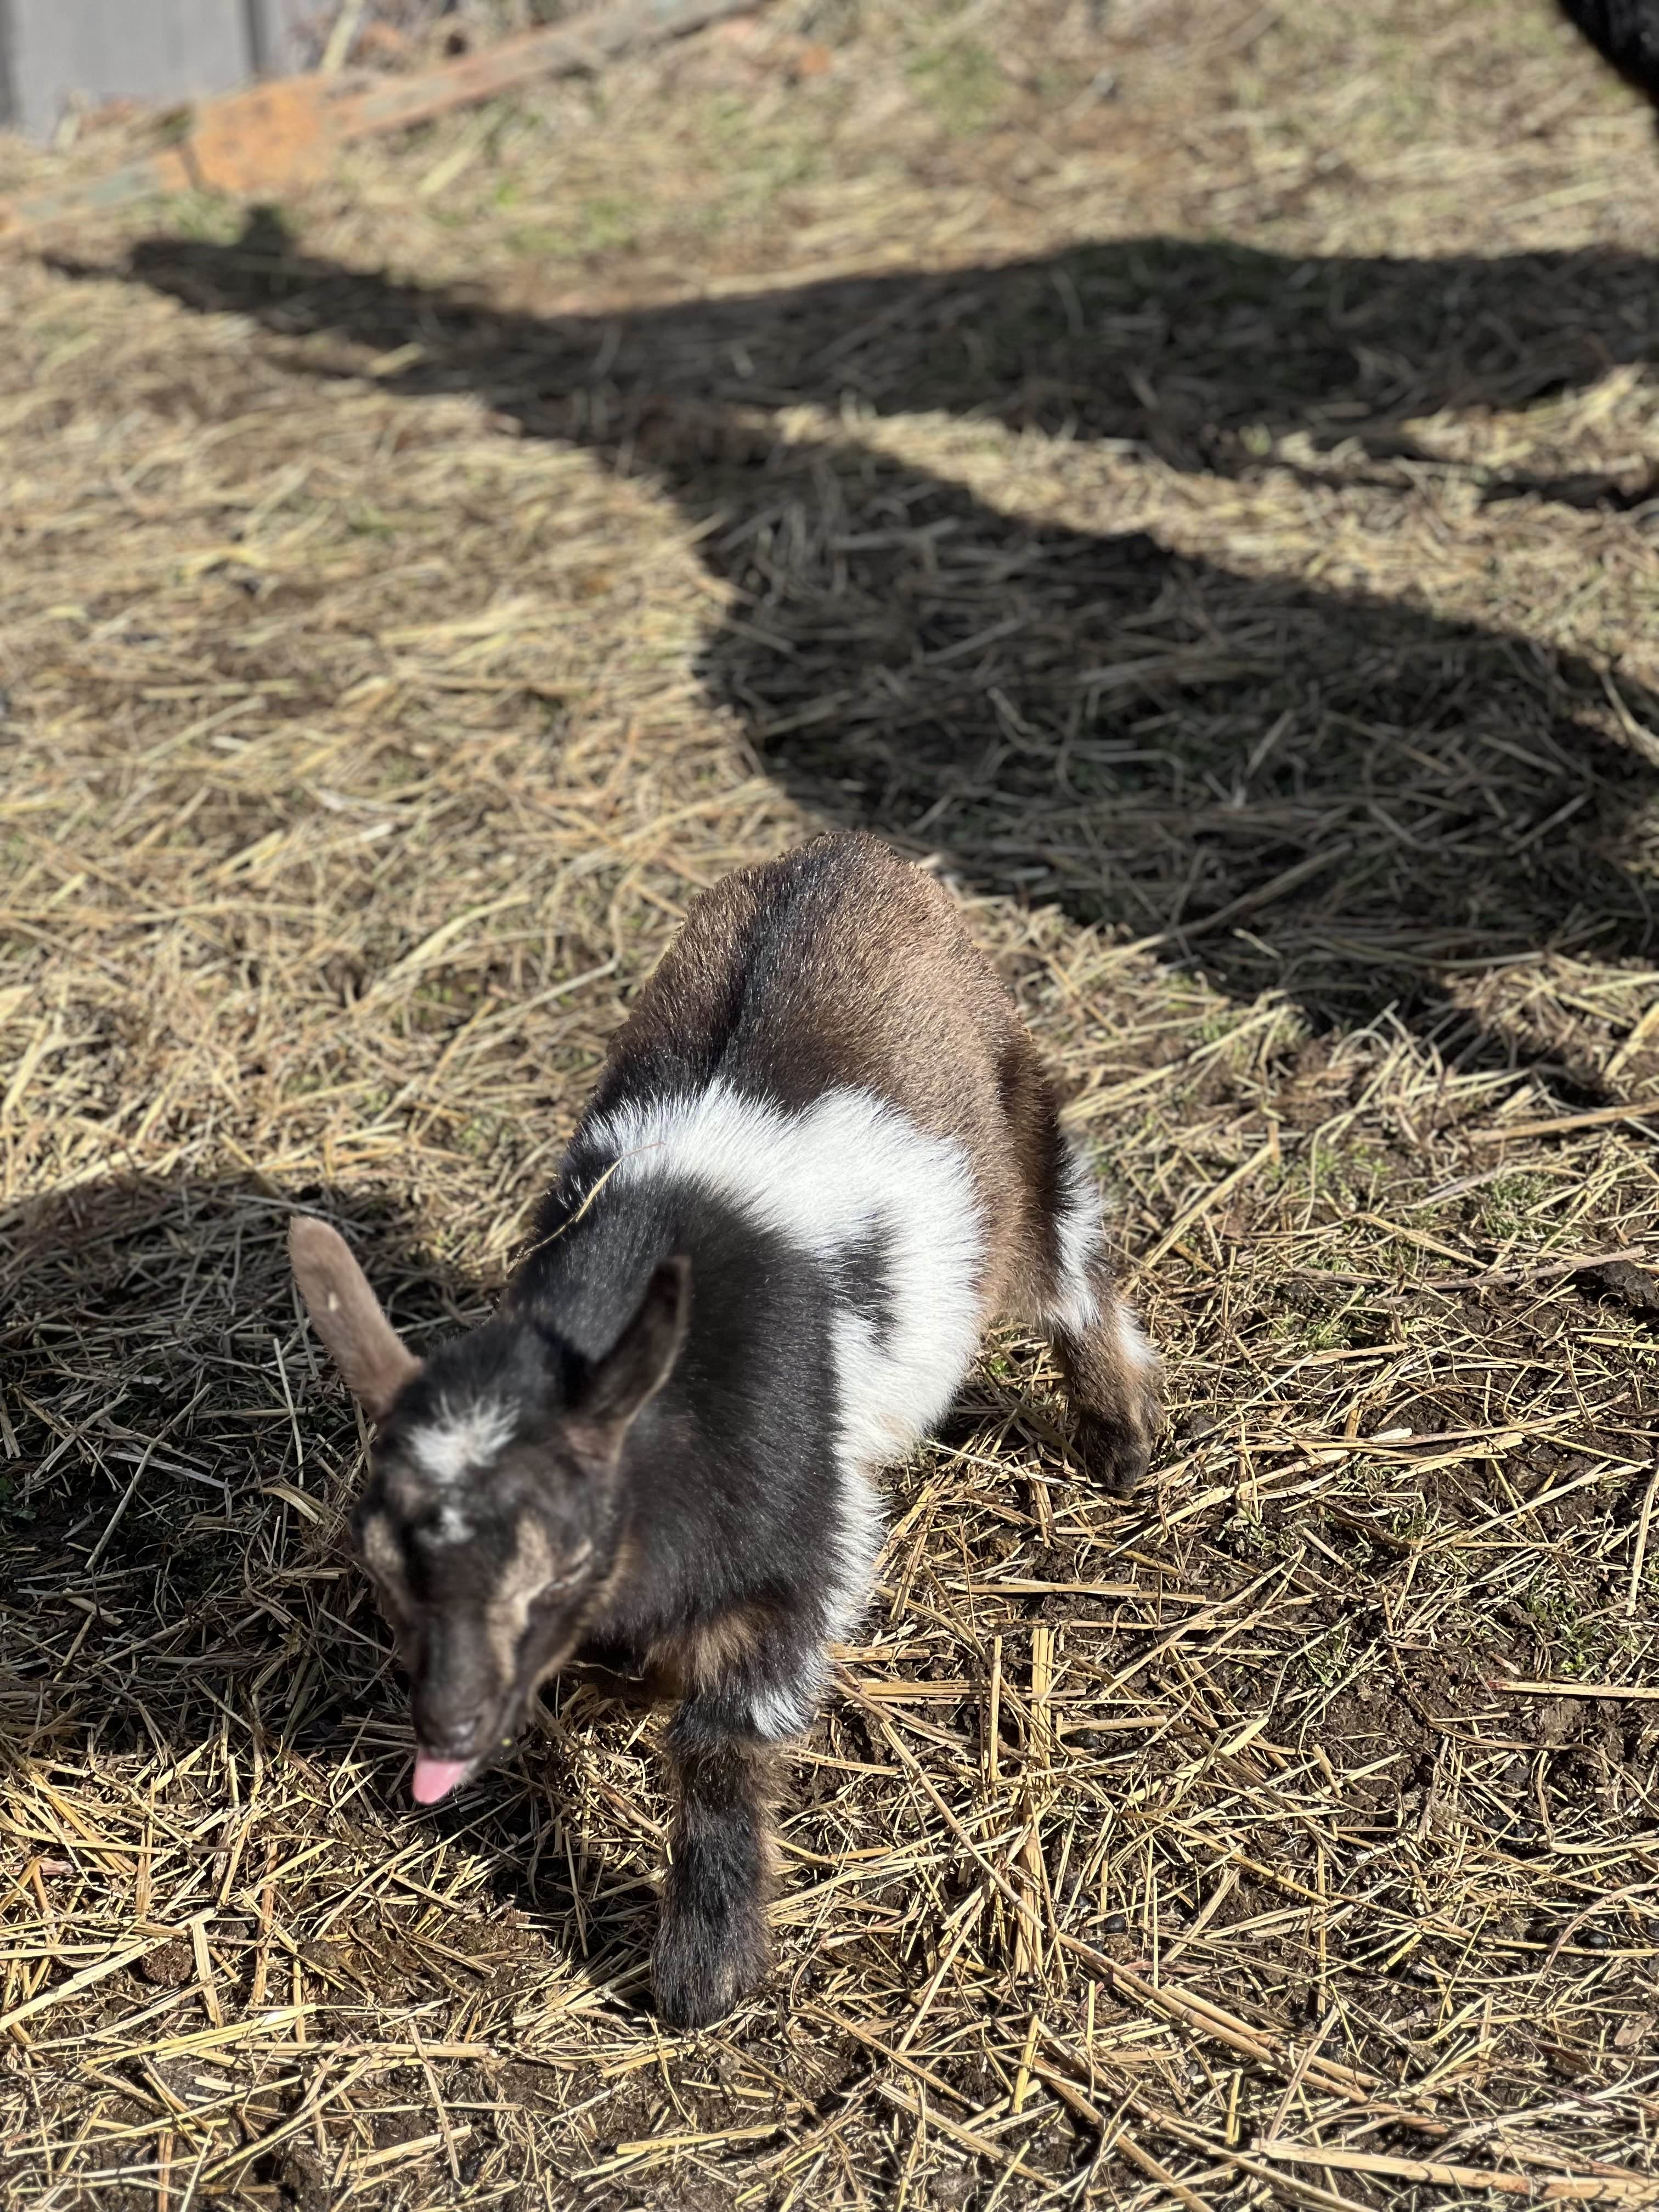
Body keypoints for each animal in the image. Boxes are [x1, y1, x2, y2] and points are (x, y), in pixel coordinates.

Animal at [289, 831, 1159, 2027]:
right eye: (376, 1565)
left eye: (561, 1562)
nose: (449, 1731)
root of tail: (849, 856)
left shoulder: (801, 1553)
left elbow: (720, 1740)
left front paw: (705, 1971)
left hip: (1023, 1122)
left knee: (1071, 1265)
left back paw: (1121, 1440)